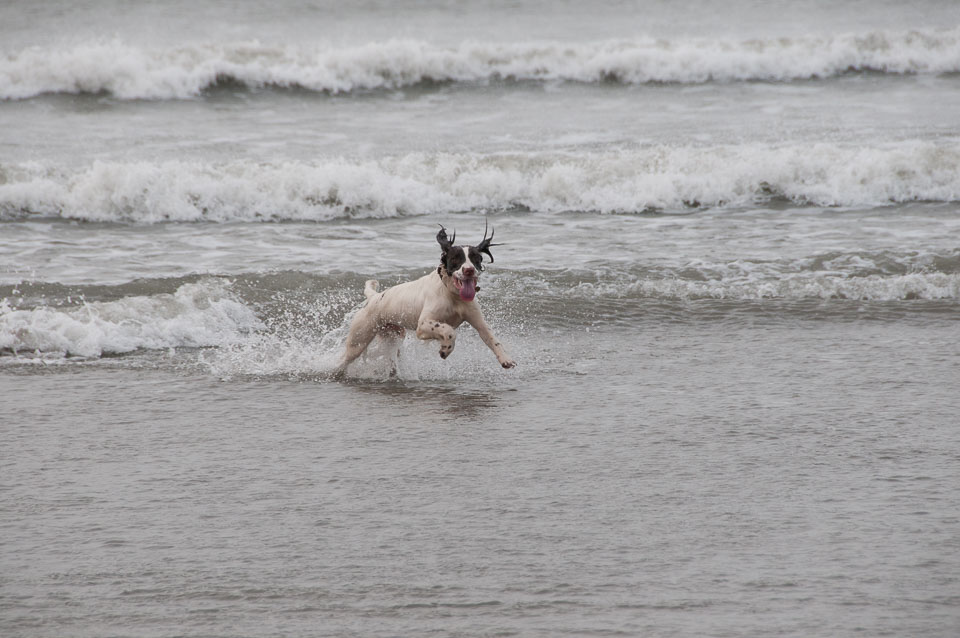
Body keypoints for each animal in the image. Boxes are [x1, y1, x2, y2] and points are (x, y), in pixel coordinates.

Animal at [338, 225, 516, 378]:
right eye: (455, 258)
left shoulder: (479, 322)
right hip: (359, 341)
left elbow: (493, 339)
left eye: (476, 258)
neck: (452, 294)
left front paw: (506, 359)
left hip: (392, 337)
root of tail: (374, 297)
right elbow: (449, 330)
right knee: (344, 360)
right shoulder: (422, 325)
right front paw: (446, 349)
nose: (469, 270)